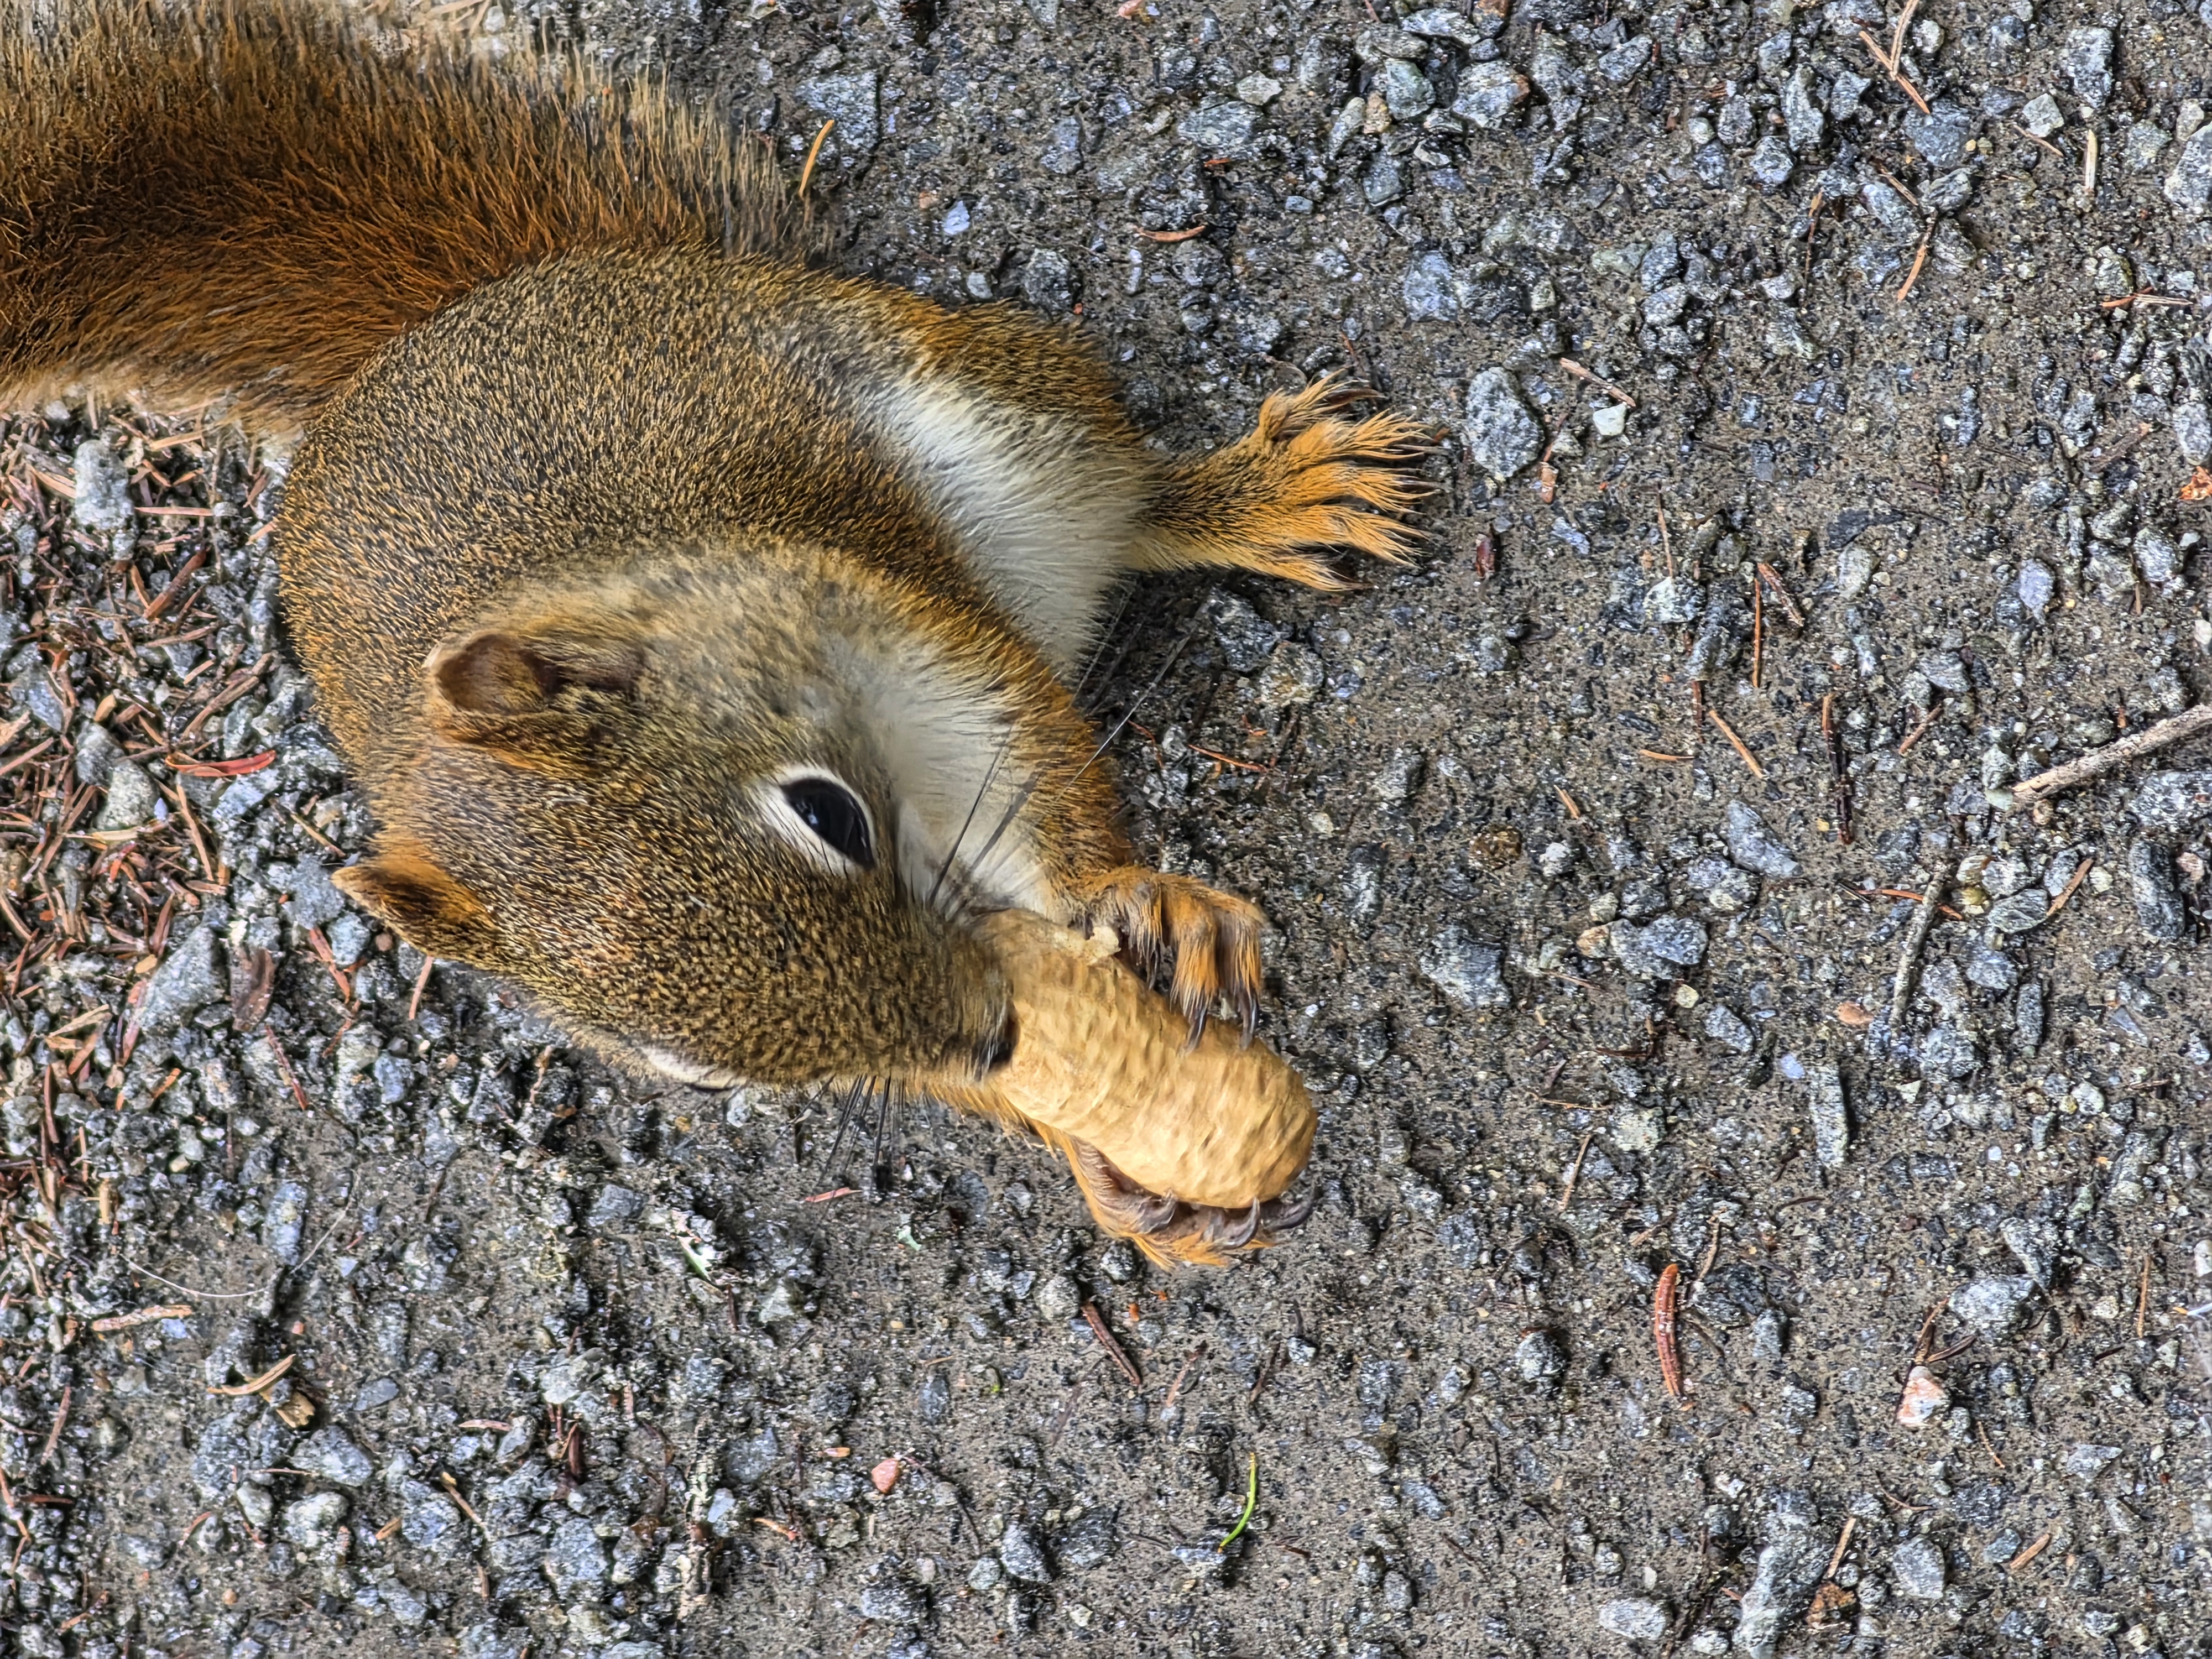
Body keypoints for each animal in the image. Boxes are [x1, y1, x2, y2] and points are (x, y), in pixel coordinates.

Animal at [3, 1, 1429, 1225]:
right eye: (694, 1075)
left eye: (828, 817)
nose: (986, 1034)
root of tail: (421, 336)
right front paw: (1084, 1145)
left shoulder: (886, 614)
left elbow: (1034, 752)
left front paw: (1137, 902)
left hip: (999, 410)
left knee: (1129, 502)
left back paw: (1251, 495)